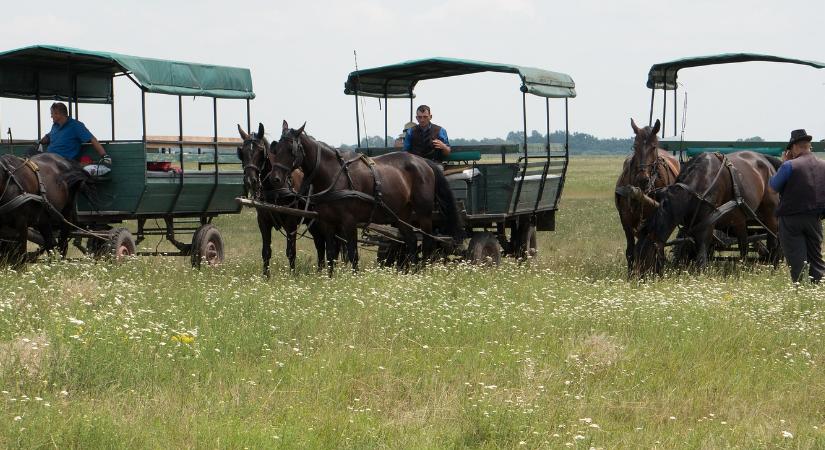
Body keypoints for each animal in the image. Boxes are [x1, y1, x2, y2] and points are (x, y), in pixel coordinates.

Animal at [235, 124, 326, 278]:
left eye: (261, 152)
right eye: (242, 152)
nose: (250, 181)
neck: (275, 188)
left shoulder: (291, 222)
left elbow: (291, 252)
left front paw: (292, 276)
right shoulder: (263, 222)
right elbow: (266, 251)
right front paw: (266, 277)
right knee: (320, 244)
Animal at [268, 119, 464, 276]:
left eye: (291, 150)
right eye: (276, 149)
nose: (275, 179)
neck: (334, 175)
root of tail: (424, 162)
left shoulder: (349, 221)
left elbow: (353, 253)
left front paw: (355, 279)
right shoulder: (327, 222)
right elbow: (330, 253)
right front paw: (330, 280)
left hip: (424, 213)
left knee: (428, 241)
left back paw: (423, 271)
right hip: (401, 215)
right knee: (411, 240)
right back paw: (411, 272)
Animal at [616, 118, 680, 274]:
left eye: (653, 147)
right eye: (635, 146)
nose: (643, 178)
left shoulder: (655, 218)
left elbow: (652, 248)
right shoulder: (625, 219)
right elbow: (631, 251)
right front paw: (631, 275)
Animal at [636, 151, 784, 276]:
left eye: (646, 256)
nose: (636, 278)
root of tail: (765, 160)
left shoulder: (707, 224)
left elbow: (702, 254)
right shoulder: (693, 226)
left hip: (770, 215)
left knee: (774, 240)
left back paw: (773, 266)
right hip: (739, 220)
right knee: (744, 243)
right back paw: (744, 267)